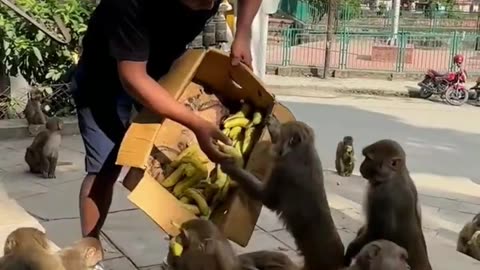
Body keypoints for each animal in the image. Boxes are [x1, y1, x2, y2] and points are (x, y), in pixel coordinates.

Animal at [221, 116, 344, 270]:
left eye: (283, 127)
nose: (271, 119)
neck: (301, 151)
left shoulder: (283, 170)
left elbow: (267, 198)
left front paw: (232, 167)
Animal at [344, 139, 434, 270]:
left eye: (368, 159)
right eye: (365, 157)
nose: (361, 166)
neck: (396, 175)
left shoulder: (381, 196)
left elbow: (374, 232)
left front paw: (349, 252)